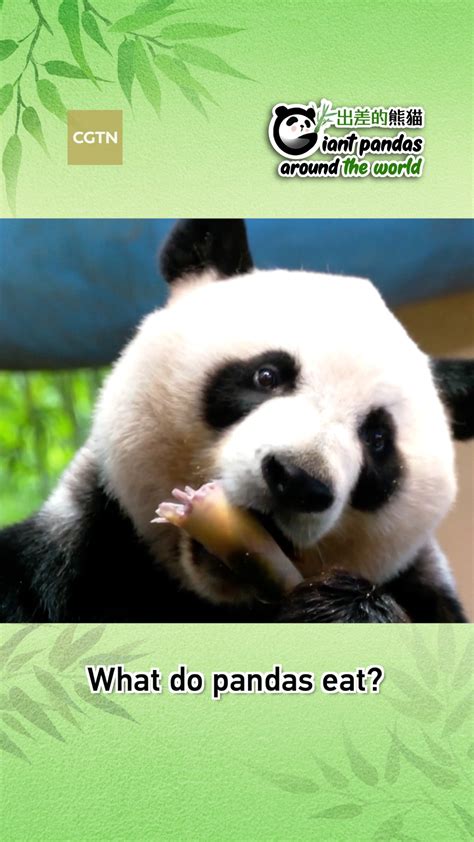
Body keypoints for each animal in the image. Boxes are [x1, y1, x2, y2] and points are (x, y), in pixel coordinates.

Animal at [1, 219, 473, 623]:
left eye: (376, 438)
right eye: (267, 375)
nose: (297, 480)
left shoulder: (425, 590)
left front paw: (342, 608)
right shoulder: (68, 560)